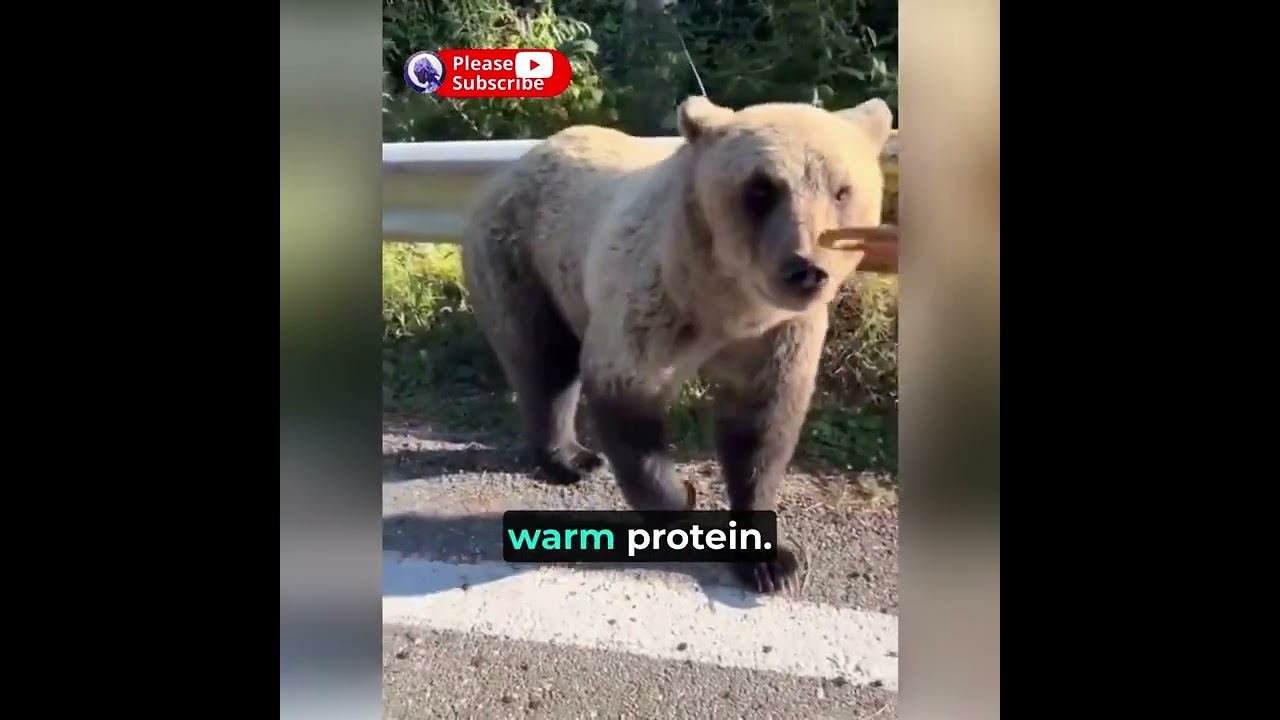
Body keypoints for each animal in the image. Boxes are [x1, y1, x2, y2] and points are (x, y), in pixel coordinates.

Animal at [458, 95, 894, 594]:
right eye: (761, 190)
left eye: (842, 191)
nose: (806, 268)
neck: (726, 303)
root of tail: (517, 163)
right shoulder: (652, 304)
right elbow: (627, 398)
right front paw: (680, 497)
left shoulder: (776, 338)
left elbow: (760, 430)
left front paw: (770, 562)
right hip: (522, 259)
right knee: (544, 363)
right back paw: (570, 459)